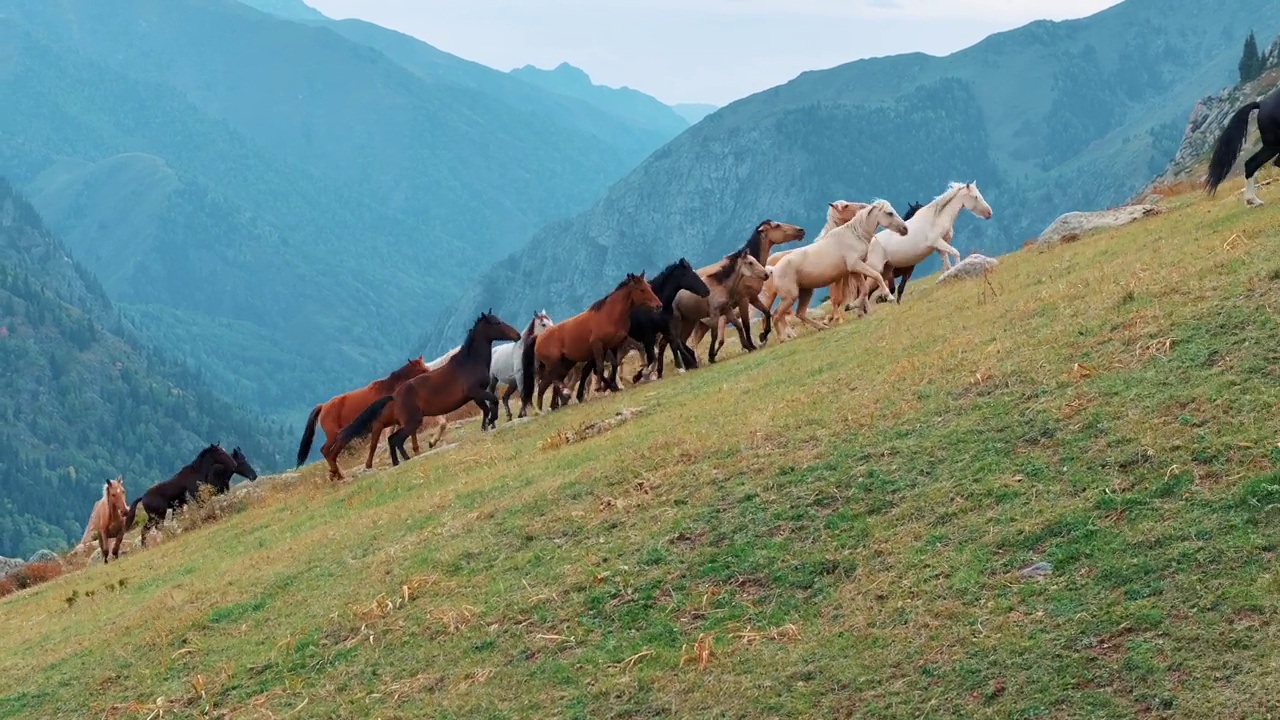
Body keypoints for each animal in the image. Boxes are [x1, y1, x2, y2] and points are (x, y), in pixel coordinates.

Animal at [124, 443, 259, 543]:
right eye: (220, 452)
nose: (254, 476)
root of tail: (143, 497)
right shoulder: (199, 500)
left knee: (146, 530)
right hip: (158, 515)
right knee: (153, 529)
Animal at [295, 353, 430, 474]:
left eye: (425, 366)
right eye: (420, 369)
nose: (430, 374)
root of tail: (323, 406)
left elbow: (409, 431)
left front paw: (415, 450)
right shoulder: (378, 425)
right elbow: (374, 445)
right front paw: (368, 464)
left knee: (331, 452)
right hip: (333, 435)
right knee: (326, 451)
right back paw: (337, 474)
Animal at [330, 310, 519, 474]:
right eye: (497, 323)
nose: (517, 335)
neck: (469, 363)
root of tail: (394, 395)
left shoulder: (475, 395)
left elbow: (486, 408)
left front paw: (486, 426)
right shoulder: (476, 392)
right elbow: (493, 401)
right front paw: (493, 420)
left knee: (393, 440)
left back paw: (398, 461)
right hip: (412, 421)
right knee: (395, 439)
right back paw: (406, 458)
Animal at [757, 198, 911, 338]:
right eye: (889, 213)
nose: (905, 229)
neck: (854, 235)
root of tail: (773, 269)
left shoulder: (854, 270)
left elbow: (864, 290)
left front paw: (854, 307)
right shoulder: (856, 265)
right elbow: (876, 277)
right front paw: (889, 298)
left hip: (806, 292)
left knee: (799, 313)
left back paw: (822, 327)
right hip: (790, 296)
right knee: (776, 315)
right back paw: (783, 338)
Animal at [855, 180, 993, 312]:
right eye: (975, 196)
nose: (989, 213)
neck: (936, 218)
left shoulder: (939, 247)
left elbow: (947, 266)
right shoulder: (937, 242)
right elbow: (956, 253)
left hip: (886, 270)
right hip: (875, 268)